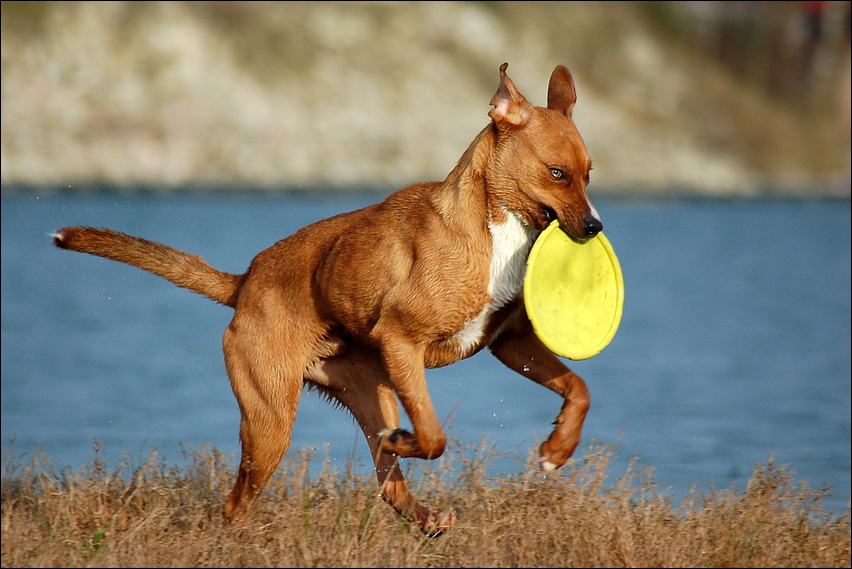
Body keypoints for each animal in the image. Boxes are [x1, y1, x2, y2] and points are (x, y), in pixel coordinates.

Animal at [53, 64, 604, 536]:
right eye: (557, 173)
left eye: (589, 174)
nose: (596, 226)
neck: (494, 228)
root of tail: (245, 282)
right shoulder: (401, 340)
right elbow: (433, 435)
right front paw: (413, 440)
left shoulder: (509, 343)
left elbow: (579, 388)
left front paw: (558, 447)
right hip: (272, 420)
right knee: (238, 502)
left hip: (371, 393)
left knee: (388, 486)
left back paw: (428, 519)